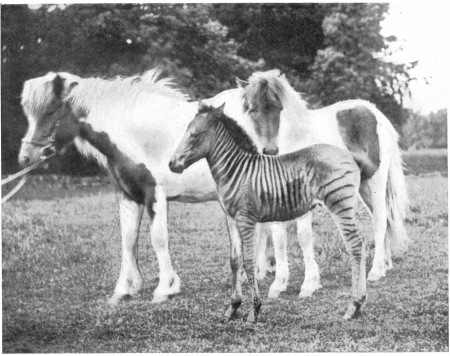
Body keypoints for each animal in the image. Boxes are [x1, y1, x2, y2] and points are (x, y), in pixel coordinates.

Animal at [169, 102, 366, 322]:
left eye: (194, 134)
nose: (171, 164)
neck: (237, 170)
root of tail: (349, 155)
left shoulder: (246, 219)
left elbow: (248, 260)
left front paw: (254, 310)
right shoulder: (231, 218)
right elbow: (234, 260)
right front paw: (232, 307)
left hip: (339, 204)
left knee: (355, 245)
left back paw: (354, 306)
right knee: (359, 243)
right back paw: (358, 304)